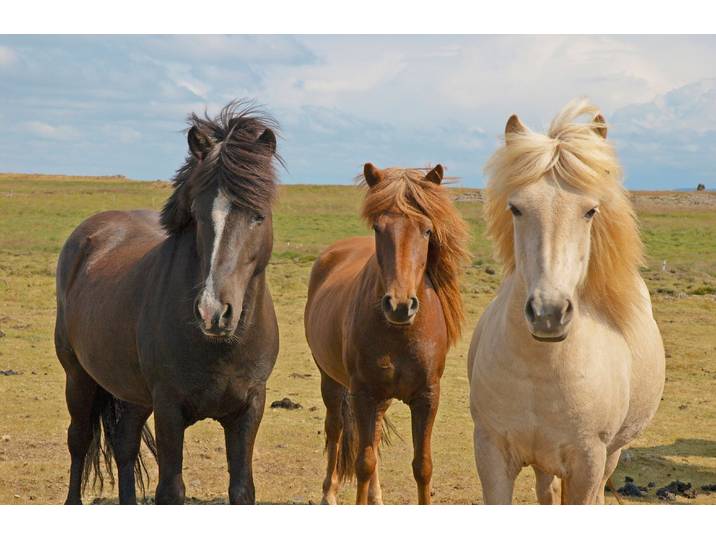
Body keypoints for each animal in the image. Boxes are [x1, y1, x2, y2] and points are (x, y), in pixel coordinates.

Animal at [54, 101, 281, 504]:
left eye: (258, 215)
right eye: (198, 215)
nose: (213, 312)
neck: (220, 347)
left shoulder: (249, 409)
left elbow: (242, 489)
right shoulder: (169, 408)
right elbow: (170, 489)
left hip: (132, 393)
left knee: (125, 444)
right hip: (78, 376)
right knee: (79, 440)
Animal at [304, 164, 469, 504]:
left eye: (427, 230)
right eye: (378, 229)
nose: (400, 305)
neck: (400, 332)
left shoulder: (427, 396)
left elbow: (423, 465)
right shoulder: (364, 393)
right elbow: (364, 462)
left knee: (375, 435)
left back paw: (376, 497)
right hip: (332, 381)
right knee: (335, 429)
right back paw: (329, 494)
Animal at [467, 99, 666, 504]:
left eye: (590, 211)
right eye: (516, 208)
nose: (548, 313)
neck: (540, 370)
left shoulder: (588, 462)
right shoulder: (491, 454)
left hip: (610, 456)